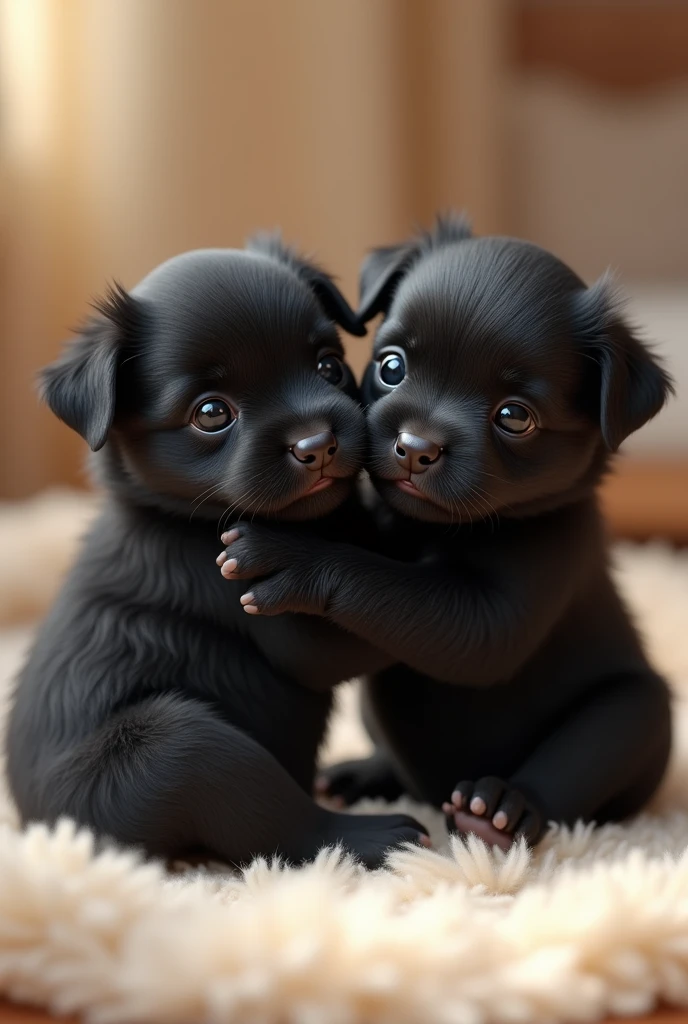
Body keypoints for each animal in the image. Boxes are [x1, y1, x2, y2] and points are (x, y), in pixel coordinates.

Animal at [5, 237, 427, 864]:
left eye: (328, 366)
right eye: (211, 413)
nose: (317, 443)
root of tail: (41, 828)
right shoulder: (241, 592)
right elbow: (367, 623)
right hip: (174, 747)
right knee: (277, 819)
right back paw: (368, 834)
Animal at [219, 214, 671, 847]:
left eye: (514, 416)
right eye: (391, 367)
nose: (416, 447)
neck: (430, 531)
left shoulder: (511, 595)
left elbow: (401, 593)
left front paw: (296, 557)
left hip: (635, 715)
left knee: (594, 747)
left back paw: (502, 810)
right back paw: (368, 774)